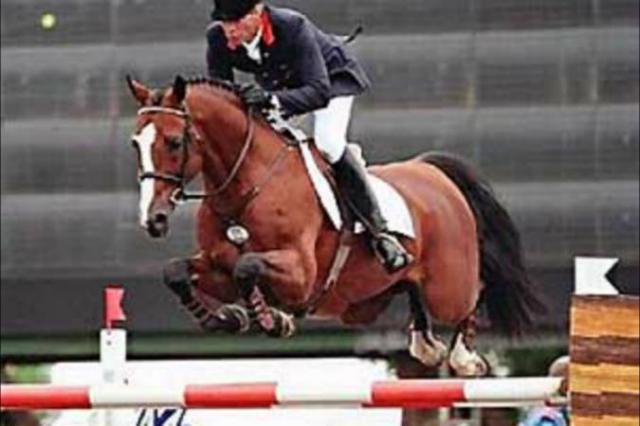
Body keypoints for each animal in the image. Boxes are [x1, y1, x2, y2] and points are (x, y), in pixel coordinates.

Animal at [126, 75, 544, 376]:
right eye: (135, 144)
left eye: (174, 141)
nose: (153, 219)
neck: (248, 186)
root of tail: (432, 171)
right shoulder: (217, 265)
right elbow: (176, 272)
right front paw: (226, 317)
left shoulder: (300, 274)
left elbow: (249, 267)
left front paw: (272, 319)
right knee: (414, 290)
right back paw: (426, 343)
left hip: (449, 286)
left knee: (475, 291)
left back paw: (463, 357)